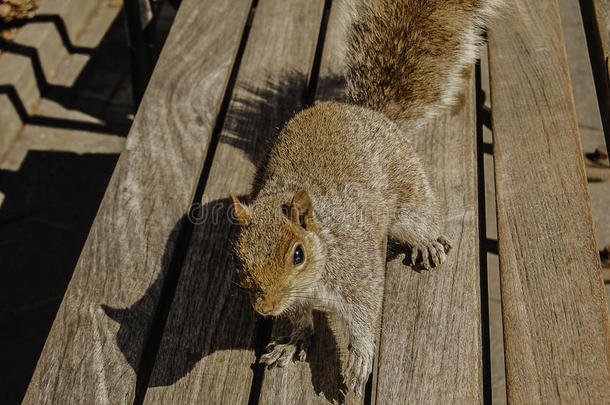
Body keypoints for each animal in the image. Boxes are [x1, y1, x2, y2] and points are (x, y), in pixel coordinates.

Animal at [228, 0, 498, 394]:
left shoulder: (358, 271)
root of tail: (365, 111)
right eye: (238, 258)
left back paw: (427, 243)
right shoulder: (296, 299)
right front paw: (294, 339)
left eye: (298, 254)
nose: (265, 309)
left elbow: (366, 313)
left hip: (408, 194)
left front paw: (360, 356)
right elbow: (301, 319)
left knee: (422, 218)